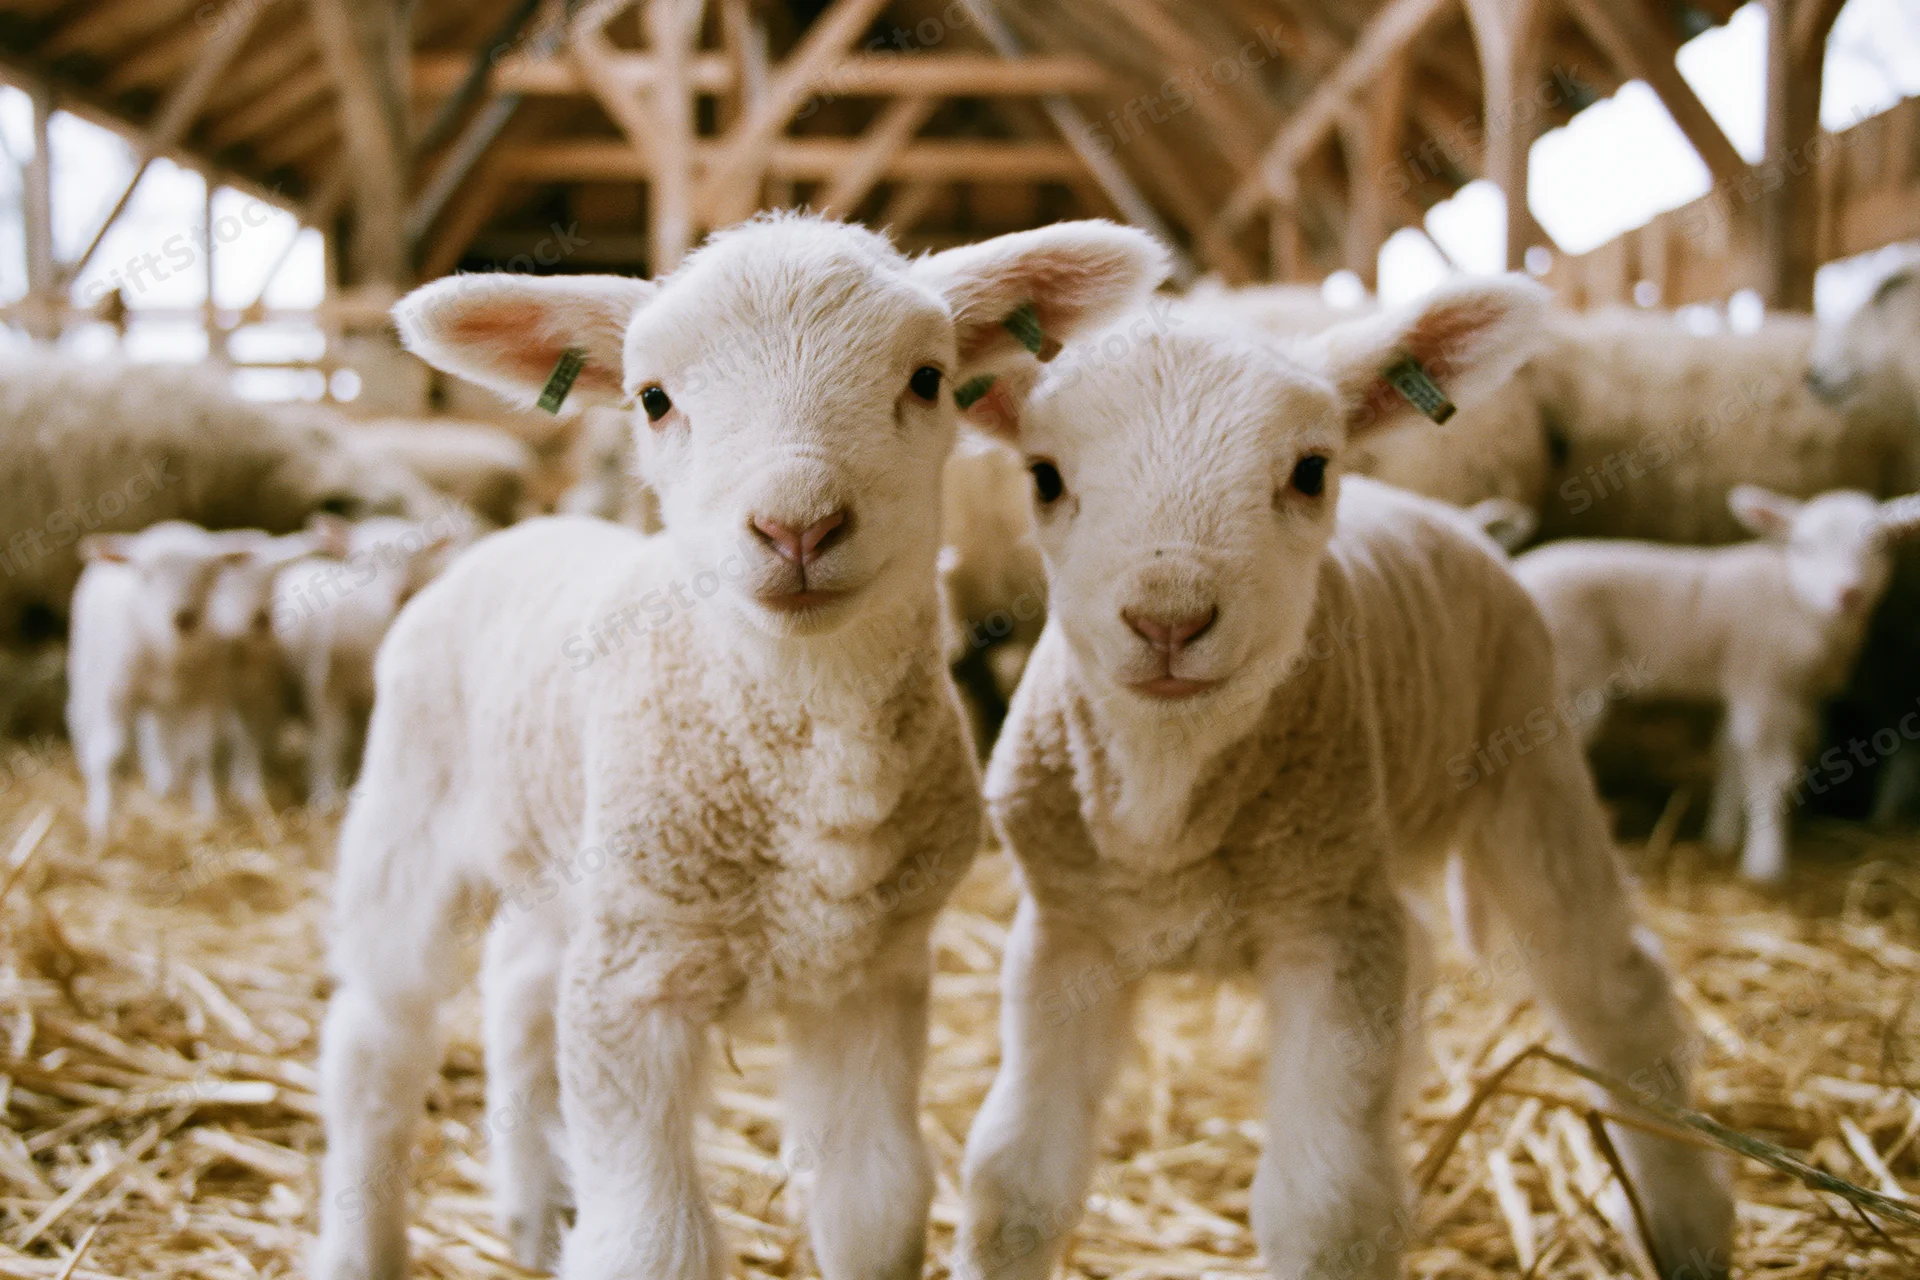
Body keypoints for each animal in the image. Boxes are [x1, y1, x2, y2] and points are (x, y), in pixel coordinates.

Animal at [271, 512, 468, 810]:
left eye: (417, 556)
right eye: (361, 562)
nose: (399, 592)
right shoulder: (322, 686)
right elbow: (326, 743)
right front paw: (324, 797)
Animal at [310, 214, 1169, 1280]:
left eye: (929, 378)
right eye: (653, 398)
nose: (798, 526)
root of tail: (517, 536)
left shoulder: (868, 978)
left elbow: (874, 1203)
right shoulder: (632, 989)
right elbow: (652, 1243)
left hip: (571, 866)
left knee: (516, 990)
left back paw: (537, 1211)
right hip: (409, 823)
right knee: (375, 1042)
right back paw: (364, 1240)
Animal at [951, 279, 1733, 1280]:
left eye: (1311, 471)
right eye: (1044, 476)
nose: (1169, 620)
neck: (1167, 794)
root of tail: (1455, 520)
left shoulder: (1328, 934)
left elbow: (1326, 1213)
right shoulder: (1064, 934)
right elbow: (1014, 1183)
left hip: (1529, 759)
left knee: (1611, 987)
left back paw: (1688, 1225)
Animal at [1511, 486, 1920, 883]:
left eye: (1882, 543)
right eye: (1803, 545)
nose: (1848, 593)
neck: (1794, 598)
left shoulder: (1743, 684)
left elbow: (1730, 755)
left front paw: (1722, 838)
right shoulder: (1763, 683)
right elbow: (1772, 773)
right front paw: (1765, 866)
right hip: (1573, 679)